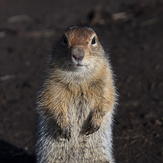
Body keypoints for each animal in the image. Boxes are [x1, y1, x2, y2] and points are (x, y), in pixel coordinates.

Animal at [35, 26, 117, 162]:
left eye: (93, 40)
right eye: (64, 39)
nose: (78, 55)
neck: (79, 78)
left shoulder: (106, 80)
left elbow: (106, 99)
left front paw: (95, 122)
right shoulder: (52, 84)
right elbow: (52, 102)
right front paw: (65, 126)